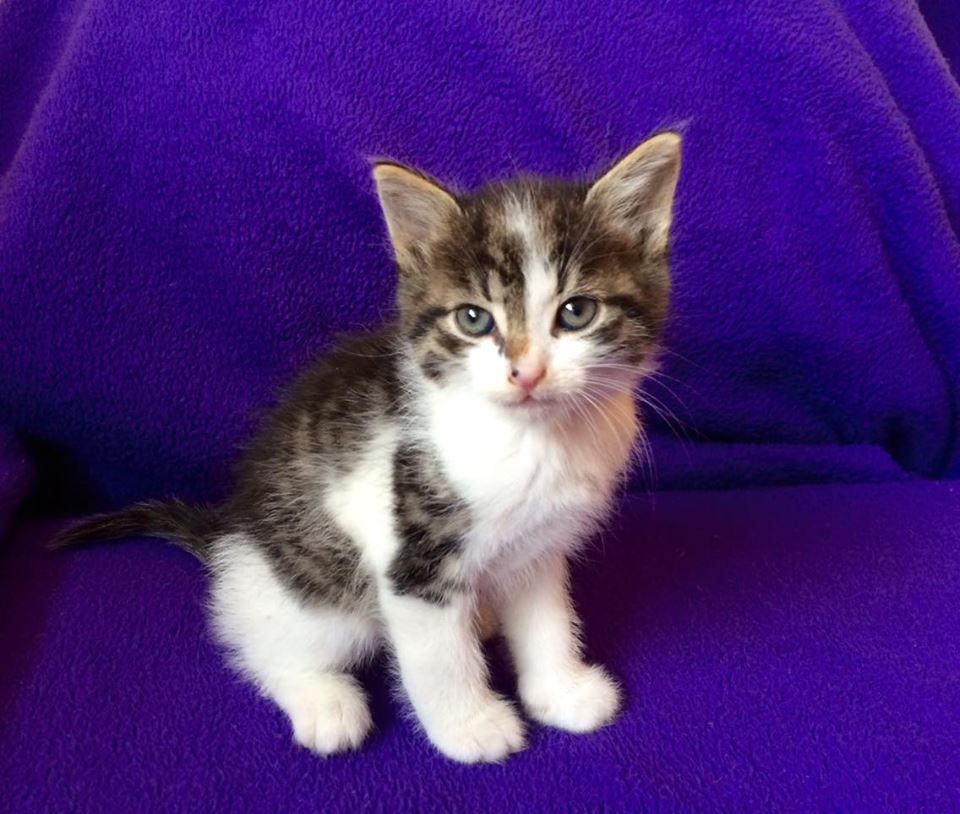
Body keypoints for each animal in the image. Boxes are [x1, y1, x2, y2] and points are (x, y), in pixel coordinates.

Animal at [52, 131, 681, 763]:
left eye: (576, 312)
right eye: (474, 319)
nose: (525, 373)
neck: (532, 440)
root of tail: (231, 535)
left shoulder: (540, 543)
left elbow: (547, 617)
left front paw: (561, 691)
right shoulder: (412, 554)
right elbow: (437, 658)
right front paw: (470, 727)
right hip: (310, 594)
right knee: (255, 638)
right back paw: (324, 700)